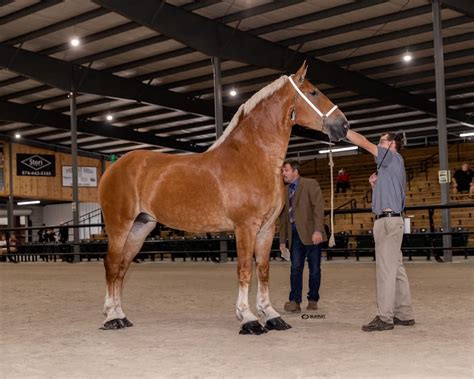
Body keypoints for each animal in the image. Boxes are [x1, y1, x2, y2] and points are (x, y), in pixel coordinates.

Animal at [98, 63, 350, 336]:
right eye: (314, 92)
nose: (344, 125)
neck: (252, 157)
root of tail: (113, 167)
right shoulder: (245, 227)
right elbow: (245, 269)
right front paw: (248, 319)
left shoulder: (267, 229)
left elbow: (263, 270)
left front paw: (272, 316)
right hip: (120, 226)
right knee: (112, 265)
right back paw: (111, 317)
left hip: (141, 227)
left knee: (122, 268)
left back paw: (121, 316)